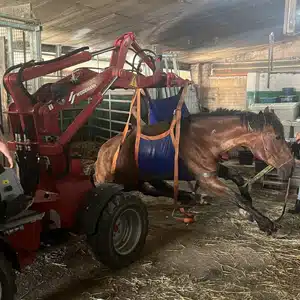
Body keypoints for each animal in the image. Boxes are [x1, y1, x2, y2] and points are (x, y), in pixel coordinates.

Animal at [93, 106, 292, 233]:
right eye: (277, 137)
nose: (291, 167)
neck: (202, 139)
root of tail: (103, 152)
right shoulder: (206, 178)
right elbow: (236, 196)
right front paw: (265, 223)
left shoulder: (212, 170)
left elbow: (238, 179)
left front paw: (249, 208)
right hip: (123, 182)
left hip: (145, 177)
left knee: (156, 189)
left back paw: (192, 197)